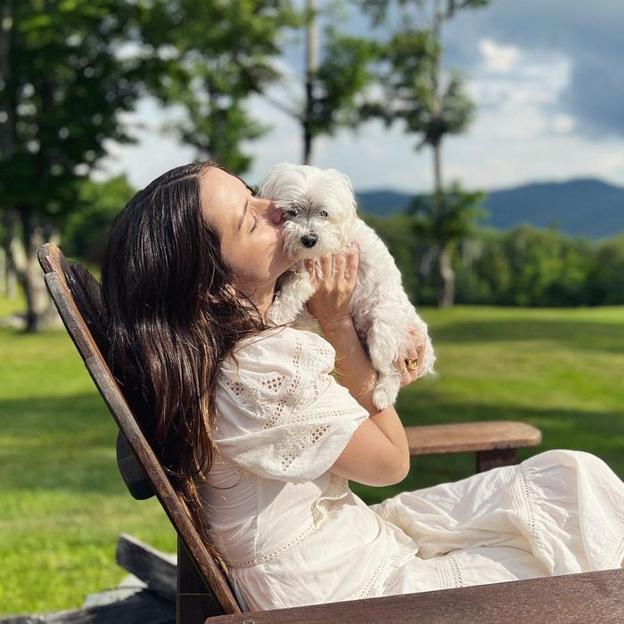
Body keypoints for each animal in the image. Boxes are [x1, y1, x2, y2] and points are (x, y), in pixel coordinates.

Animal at [260, 161, 436, 410]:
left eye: (324, 213)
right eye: (292, 211)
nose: (309, 239)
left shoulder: (316, 271)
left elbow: (293, 292)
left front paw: (275, 315)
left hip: (382, 331)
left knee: (391, 372)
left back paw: (383, 395)